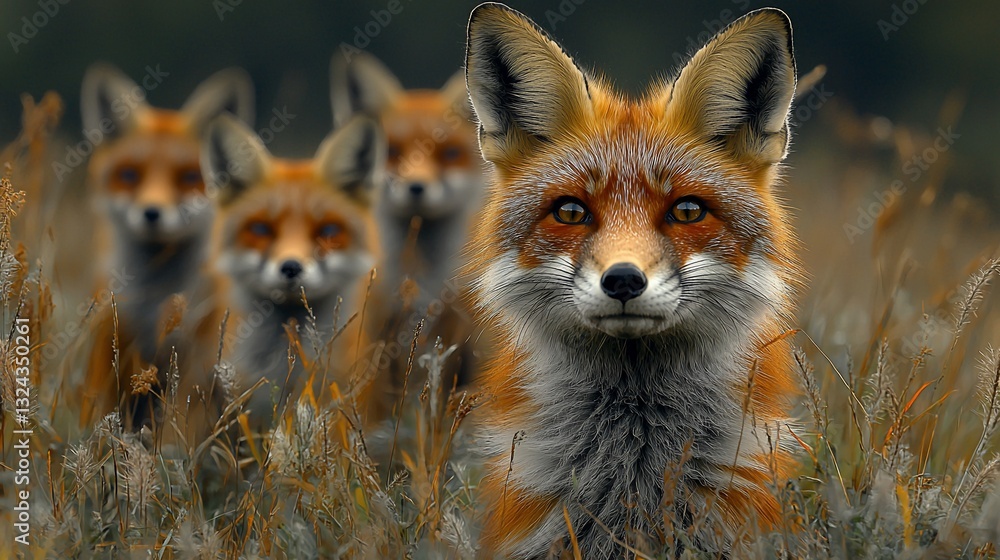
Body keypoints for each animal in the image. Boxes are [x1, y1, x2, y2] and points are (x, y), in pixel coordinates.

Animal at [79, 63, 254, 429]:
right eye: (129, 175)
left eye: (188, 178)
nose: (152, 212)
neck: (155, 304)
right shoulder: (109, 347)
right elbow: (97, 420)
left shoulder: (193, 362)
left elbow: (180, 426)